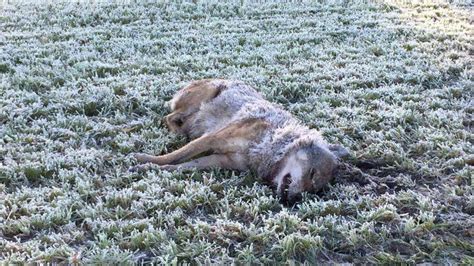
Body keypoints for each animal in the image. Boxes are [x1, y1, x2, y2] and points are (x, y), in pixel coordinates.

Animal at [133, 78, 348, 202]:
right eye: (312, 173)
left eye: (313, 191)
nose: (294, 200)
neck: (269, 144)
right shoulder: (211, 139)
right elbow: (174, 156)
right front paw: (144, 160)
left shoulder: (220, 159)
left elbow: (181, 166)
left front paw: (152, 168)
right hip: (201, 99)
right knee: (169, 118)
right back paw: (182, 130)